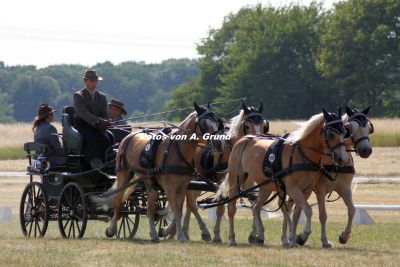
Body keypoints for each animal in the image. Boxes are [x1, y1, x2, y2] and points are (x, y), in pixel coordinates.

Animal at [159, 101, 268, 242]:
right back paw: (198, 231)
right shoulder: (223, 181)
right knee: (190, 203)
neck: (232, 148)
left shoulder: (247, 182)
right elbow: (220, 208)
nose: (258, 140)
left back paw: (181, 231)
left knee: (187, 204)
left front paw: (254, 234)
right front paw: (217, 235)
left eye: (263, 125)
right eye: (247, 125)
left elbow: (252, 201)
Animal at [214, 109, 348, 247]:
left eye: (344, 132)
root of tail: (243, 139)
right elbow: (305, 210)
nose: (342, 158)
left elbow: (296, 212)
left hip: (265, 186)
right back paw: (232, 238)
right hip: (236, 180)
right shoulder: (293, 189)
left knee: (256, 206)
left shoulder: (306, 190)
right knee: (231, 208)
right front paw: (301, 235)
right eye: (331, 134)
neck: (302, 153)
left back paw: (260, 235)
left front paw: (292, 237)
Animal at [286, 105, 374, 248]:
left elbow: (352, 210)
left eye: (369, 127)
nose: (366, 150)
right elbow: (323, 215)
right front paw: (324, 240)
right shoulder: (320, 189)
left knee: (296, 210)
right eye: (350, 128)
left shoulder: (344, 188)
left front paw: (344, 236)